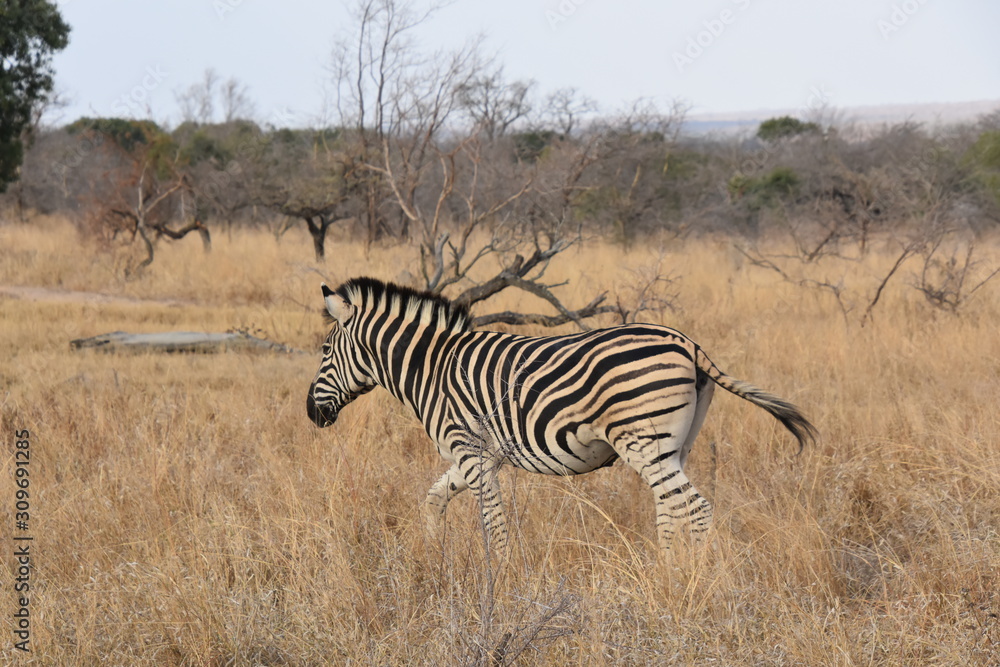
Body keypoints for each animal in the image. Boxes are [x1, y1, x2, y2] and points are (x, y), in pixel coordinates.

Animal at [307, 277, 816, 554]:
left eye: (326, 350)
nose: (311, 413)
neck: (432, 367)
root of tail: (688, 343)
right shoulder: (477, 455)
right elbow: (433, 499)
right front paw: (433, 556)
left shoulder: (470, 450)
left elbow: (493, 524)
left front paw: (502, 582)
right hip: (675, 446)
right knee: (671, 508)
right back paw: (668, 571)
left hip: (643, 442)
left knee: (694, 508)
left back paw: (695, 581)